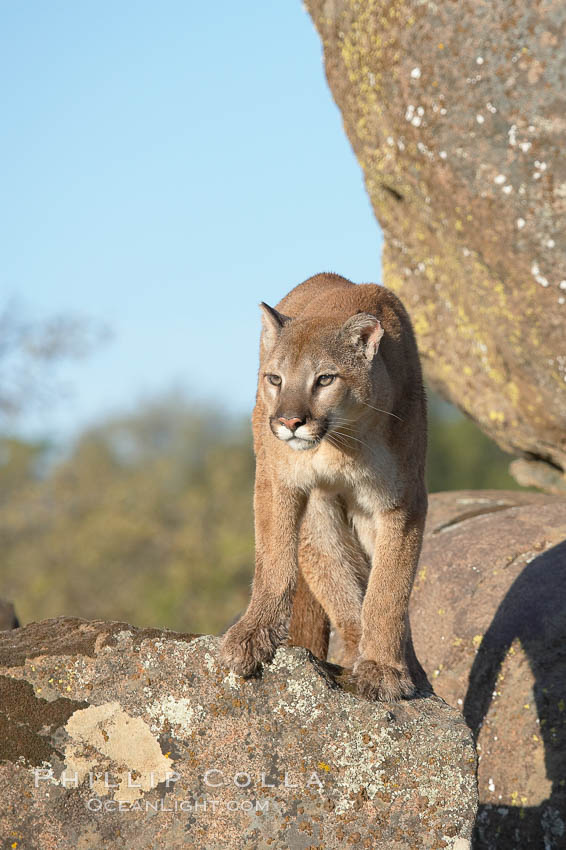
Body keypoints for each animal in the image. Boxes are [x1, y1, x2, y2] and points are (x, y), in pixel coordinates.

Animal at [220, 272, 428, 696]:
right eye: (275, 379)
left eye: (325, 379)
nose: (289, 421)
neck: (343, 444)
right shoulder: (279, 481)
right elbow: (273, 561)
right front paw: (251, 638)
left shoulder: (402, 503)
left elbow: (389, 587)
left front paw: (384, 667)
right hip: (319, 512)